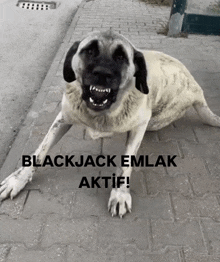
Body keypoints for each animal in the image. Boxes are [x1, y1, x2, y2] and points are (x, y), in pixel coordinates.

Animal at [0, 30, 220, 218]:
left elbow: (126, 163)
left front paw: (120, 194)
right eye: (89, 51)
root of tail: (197, 90)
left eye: (121, 57)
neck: (102, 113)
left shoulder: (139, 126)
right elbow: (40, 150)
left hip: (156, 119)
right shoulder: (63, 118)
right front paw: (18, 179)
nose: (102, 73)